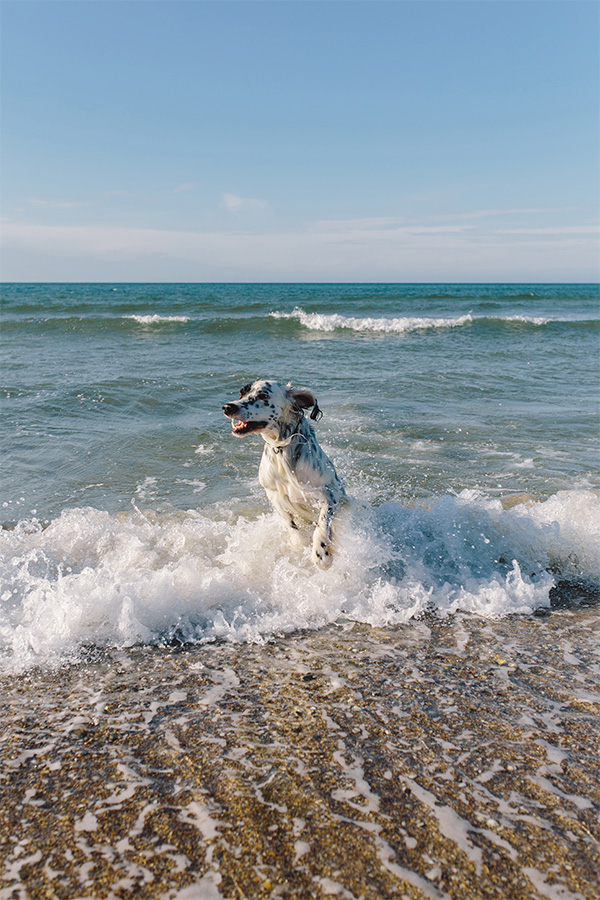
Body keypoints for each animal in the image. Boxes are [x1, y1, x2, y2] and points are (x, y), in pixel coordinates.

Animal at [223, 380, 346, 568]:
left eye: (263, 395)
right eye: (241, 393)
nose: (227, 407)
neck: (283, 449)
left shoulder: (330, 492)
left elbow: (323, 523)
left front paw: (321, 553)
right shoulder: (273, 493)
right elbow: (289, 522)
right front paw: (298, 544)